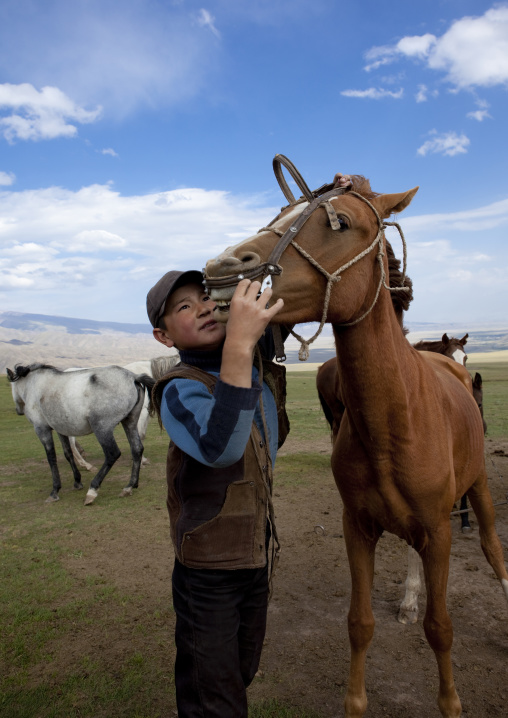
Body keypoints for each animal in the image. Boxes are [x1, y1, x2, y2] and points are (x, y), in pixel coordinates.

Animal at [7, 363, 155, 505]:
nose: (18, 411)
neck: (34, 384)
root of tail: (133, 377)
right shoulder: (61, 429)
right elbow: (68, 453)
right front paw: (77, 481)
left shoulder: (41, 429)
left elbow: (51, 457)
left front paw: (55, 491)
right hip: (130, 422)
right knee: (137, 449)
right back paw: (130, 486)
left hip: (102, 428)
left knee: (112, 454)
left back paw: (93, 490)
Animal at [203, 156, 508, 718]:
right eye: (278, 213)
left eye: (340, 222)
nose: (221, 269)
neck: (394, 423)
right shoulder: (358, 529)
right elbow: (359, 624)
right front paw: (357, 698)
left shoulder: (440, 528)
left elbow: (442, 627)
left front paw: (450, 701)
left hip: (476, 491)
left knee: (494, 549)